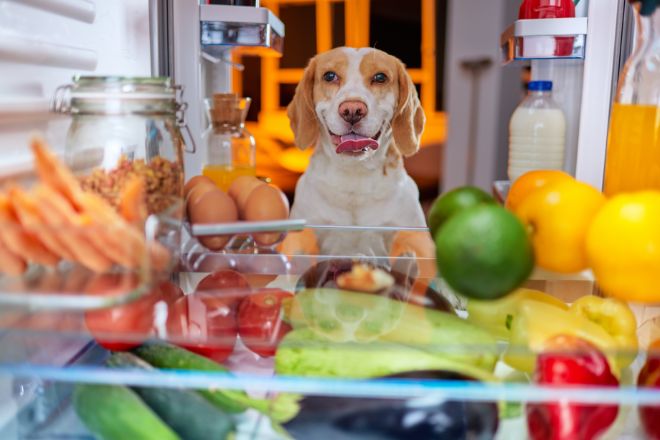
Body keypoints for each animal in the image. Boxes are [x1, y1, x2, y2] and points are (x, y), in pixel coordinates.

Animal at [286, 46, 430, 258]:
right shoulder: (301, 235)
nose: (352, 110)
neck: (354, 176)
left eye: (380, 77)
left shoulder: (415, 237)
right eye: (329, 76)